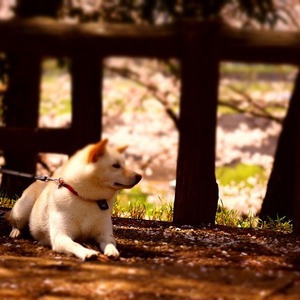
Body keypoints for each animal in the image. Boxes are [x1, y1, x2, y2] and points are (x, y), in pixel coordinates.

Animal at [6, 139, 142, 258]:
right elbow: (75, 244)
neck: (86, 198)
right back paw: (16, 231)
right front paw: (87, 252)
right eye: (116, 166)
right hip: (23, 210)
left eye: (124, 164)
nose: (139, 176)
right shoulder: (61, 236)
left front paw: (112, 251)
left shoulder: (104, 234)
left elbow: (110, 243)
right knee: (14, 220)